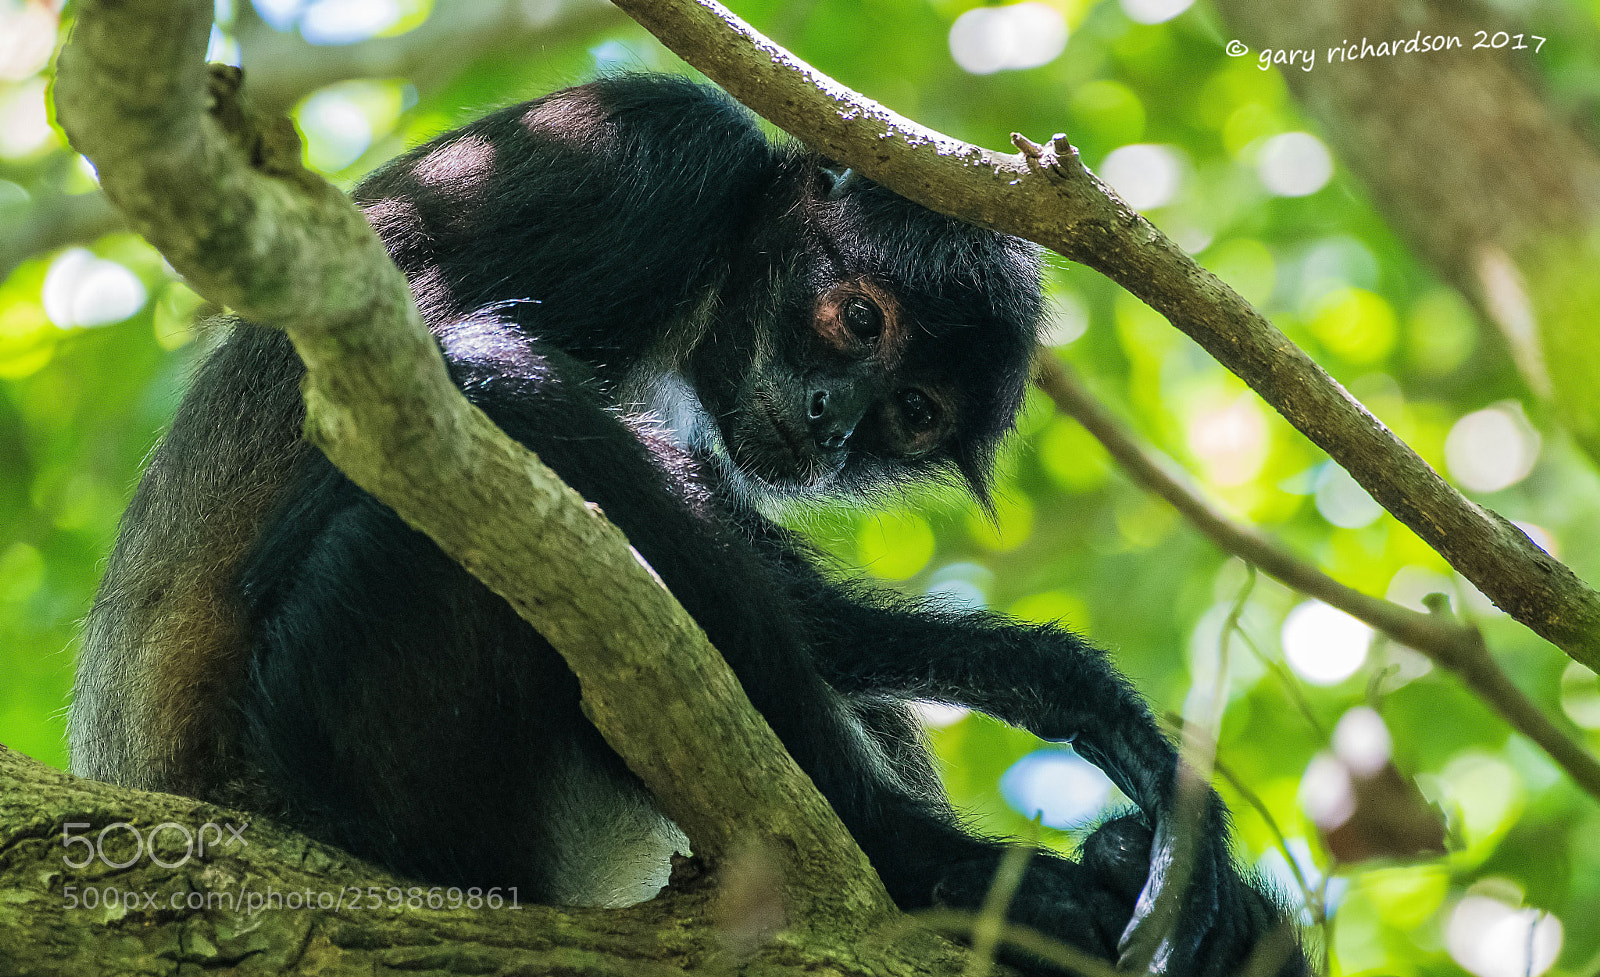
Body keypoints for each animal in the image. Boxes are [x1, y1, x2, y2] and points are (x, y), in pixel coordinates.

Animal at [70, 74, 1302, 973]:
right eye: (860, 319)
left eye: (912, 411)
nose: (834, 418)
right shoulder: (652, 155)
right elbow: (444, 388)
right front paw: (983, 805)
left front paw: (1066, 696)